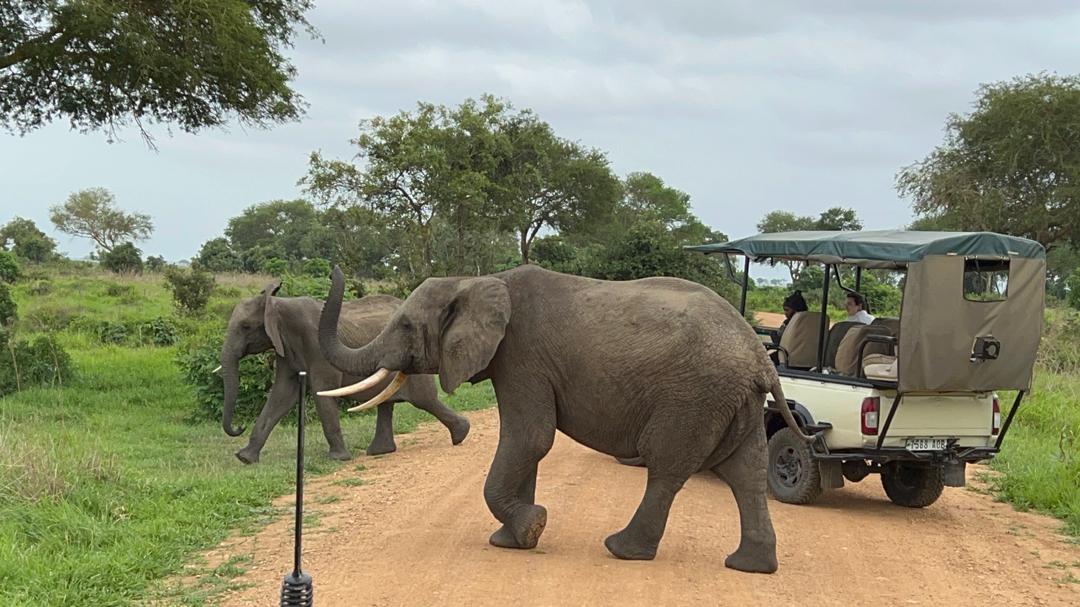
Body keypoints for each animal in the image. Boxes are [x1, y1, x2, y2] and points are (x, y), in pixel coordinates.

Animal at [219, 281, 471, 464]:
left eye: (245, 327)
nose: (239, 427)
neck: (280, 304)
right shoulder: (285, 349)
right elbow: (281, 395)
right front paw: (245, 458)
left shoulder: (317, 346)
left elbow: (323, 391)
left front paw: (338, 459)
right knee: (387, 402)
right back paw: (380, 452)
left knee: (425, 399)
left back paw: (462, 434)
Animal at [316, 265, 810, 574]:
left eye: (404, 326)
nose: (335, 273)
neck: (476, 281)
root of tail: (761, 358)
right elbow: (528, 445)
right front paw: (511, 540)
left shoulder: (522, 356)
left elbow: (530, 438)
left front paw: (531, 528)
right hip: (734, 401)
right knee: (746, 473)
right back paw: (750, 566)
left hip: (693, 397)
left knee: (667, 468)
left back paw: (621, 550)